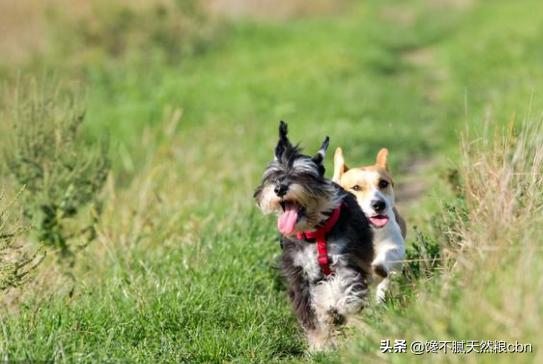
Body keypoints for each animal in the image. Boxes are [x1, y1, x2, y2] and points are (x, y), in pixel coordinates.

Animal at [334, 146, 406, 302]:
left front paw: (379, 267)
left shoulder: (395, 244)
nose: (379, 204)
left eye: (383, 183)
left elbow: (390, 253)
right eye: (356, 187)